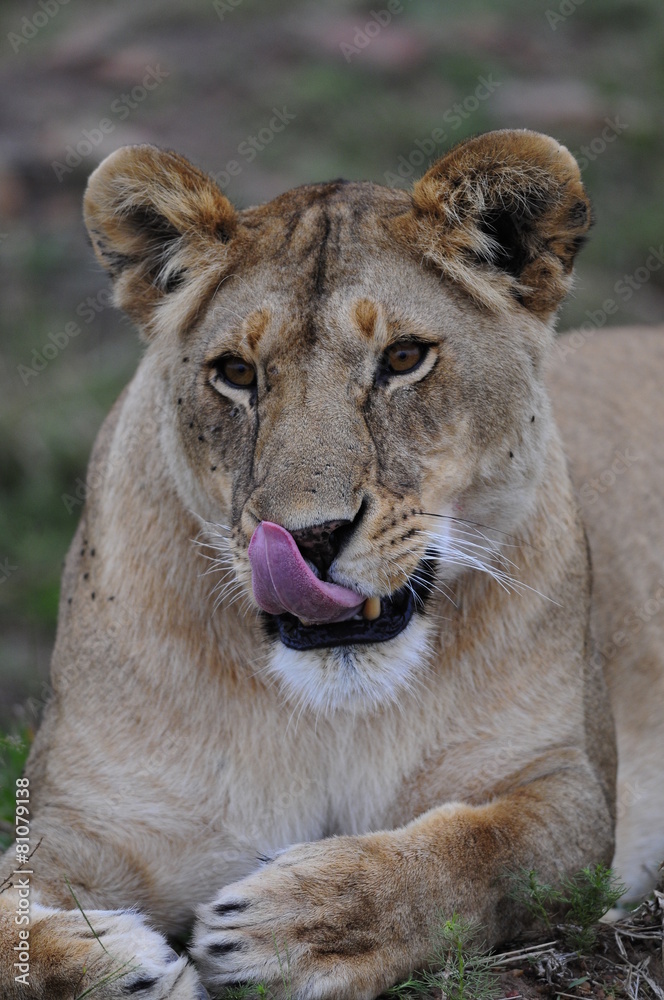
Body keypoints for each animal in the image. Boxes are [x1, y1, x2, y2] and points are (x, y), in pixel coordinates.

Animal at [1, 129, 662, 1000]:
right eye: (236, 373)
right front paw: (121, 967)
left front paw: (294, 925)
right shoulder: (89, 818)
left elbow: (477, 854)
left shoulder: (570, 787)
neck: (327, 715)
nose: (309, 539)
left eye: (405, 357)